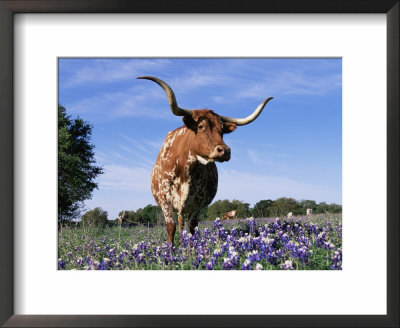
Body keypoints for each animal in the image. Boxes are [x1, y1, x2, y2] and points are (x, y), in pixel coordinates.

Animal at [139, 75, 274, 242]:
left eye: (222, 129)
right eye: (201, 126)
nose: (225, 151)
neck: (186, 170)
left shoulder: (199, 203)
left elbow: (192, 227)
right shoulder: (165, 201)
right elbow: (171, 227)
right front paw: (171, 249)